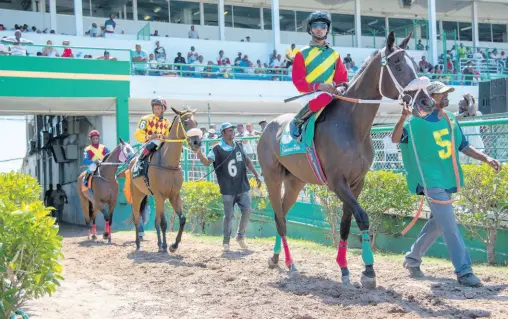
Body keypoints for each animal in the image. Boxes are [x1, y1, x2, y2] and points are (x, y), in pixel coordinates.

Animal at [124, 107, 201, 252]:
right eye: (185, 122)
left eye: (196, 122)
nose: (197, 143)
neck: (168, 164)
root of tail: (132, 161)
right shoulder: (160, 195)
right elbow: (164, 222)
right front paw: (166, 246)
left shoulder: (174, 195)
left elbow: (182, 219)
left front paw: (173, 245)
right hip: (137, 195)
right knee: (137, 217)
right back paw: (138, 245)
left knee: (155, 221)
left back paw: (158, 244)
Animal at [256, 31, 434, 288]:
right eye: (398, 65)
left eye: (416, 65)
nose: (426, 102)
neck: (351, 126)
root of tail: (268, 125)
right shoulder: (337, 182)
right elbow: (363, 218)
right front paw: (368, 271)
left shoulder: (356, 182)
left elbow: (346, 223)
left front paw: (345, 268)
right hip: (272, 178)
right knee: (279, 219)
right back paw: (290, 264)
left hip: (295, 182)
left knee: (283, 214)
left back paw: (276, 257)